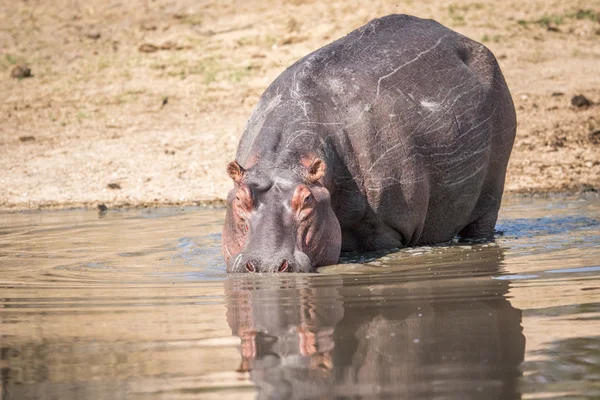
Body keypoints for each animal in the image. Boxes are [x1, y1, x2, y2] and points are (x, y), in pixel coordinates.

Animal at [220, 14, 516, 274]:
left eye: (306, 200)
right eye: (239, 200)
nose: (267, 265)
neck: (280, 165)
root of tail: (466, 38)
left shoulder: (385, 229)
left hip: (492, 193)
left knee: (482, 224)